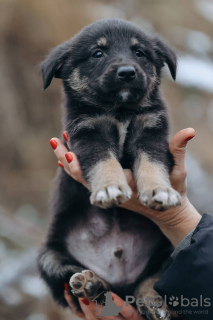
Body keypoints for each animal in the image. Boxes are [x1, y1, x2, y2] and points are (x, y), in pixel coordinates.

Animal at [37, 18, 181, 318]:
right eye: (97, 53)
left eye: (139, 52)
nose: (127, 72)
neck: (120, 110)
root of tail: (121, 280)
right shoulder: (89, 135)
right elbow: (105, 163)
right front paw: (109, 188)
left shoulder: (151, 132)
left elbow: (152, 164)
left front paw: (159, 191)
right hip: (49, 257)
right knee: (76, 275)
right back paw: (91, 284)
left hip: (170, 246)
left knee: (151, 279)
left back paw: (153, 303)